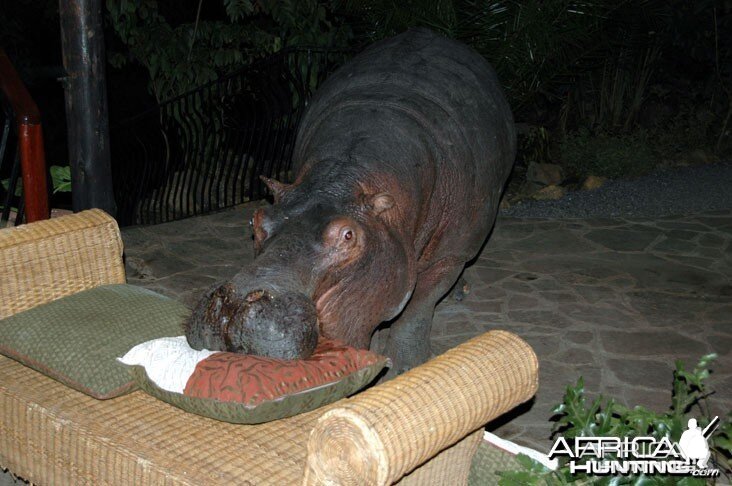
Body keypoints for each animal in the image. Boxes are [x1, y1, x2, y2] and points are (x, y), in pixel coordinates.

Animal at [184, 27, 516, 376]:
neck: (344, 177)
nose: (232, 305)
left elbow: (417, 308)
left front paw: (406, 367)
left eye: (347, 235)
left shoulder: (448, 256)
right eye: (256, 219)